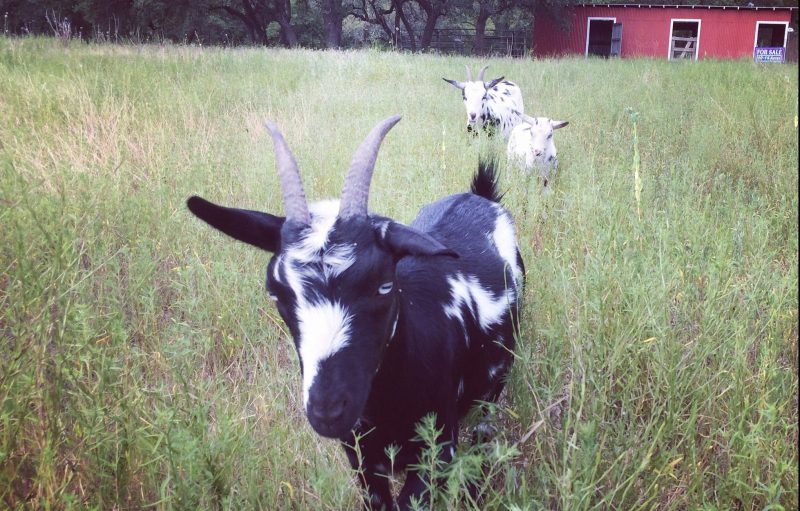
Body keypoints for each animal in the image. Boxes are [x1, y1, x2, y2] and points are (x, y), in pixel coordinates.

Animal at [186, 116, 524, 510]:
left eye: (384, 284)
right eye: (275, 292)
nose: (328, 411)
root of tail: (480, 195)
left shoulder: (437, 447)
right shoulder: (362, 457)